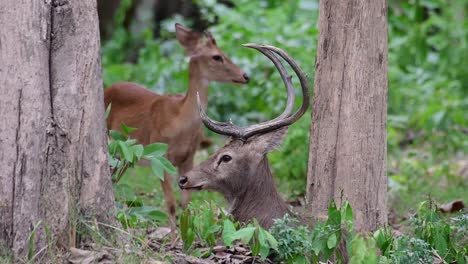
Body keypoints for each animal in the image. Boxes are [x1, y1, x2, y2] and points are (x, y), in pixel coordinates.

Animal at [103, 23, 249, 235]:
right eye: (216, 56)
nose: (246, 76)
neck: (179, 121)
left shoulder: (188, 158)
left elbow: (185, 204)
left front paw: (185, 235)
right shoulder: (160, 157)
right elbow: (171, 204)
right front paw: (173, 238)